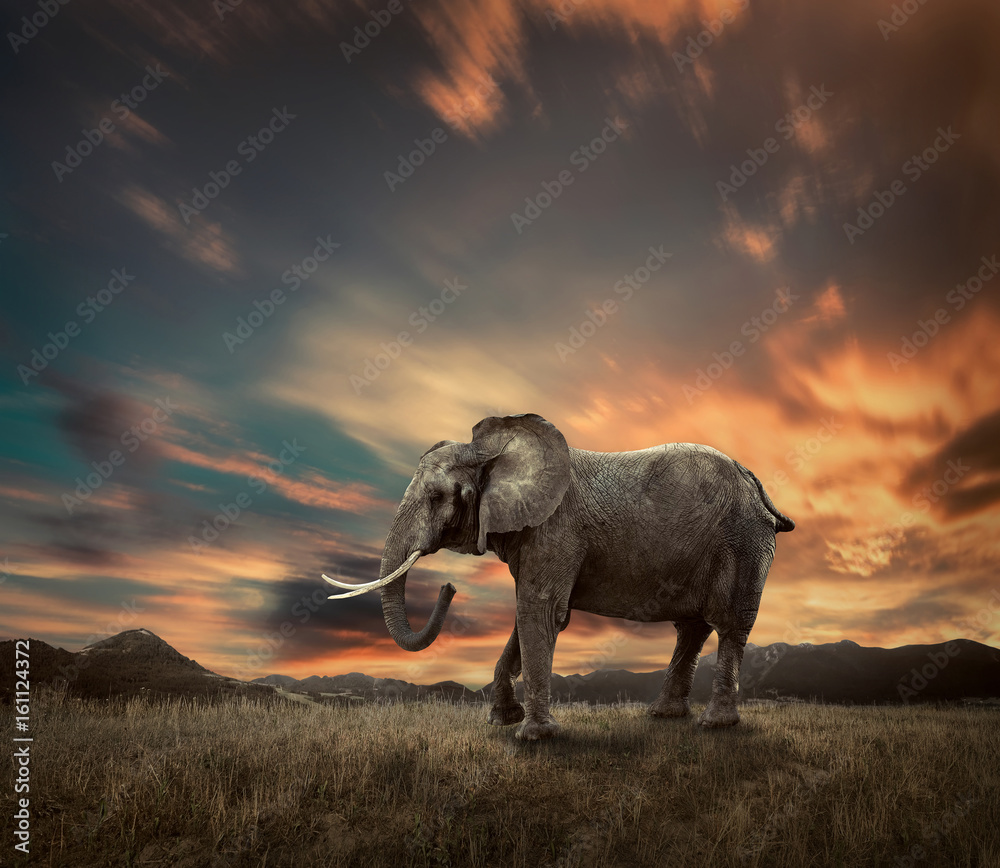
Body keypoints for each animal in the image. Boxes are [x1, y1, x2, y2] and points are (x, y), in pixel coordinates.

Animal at [325, 413, 794, 740]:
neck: (492, 451)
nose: (449, 587)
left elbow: (541, 612)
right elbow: (527, 614)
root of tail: (756, 483)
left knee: (729, 625)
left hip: (742, 541)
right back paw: (664, 717)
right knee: (692, 628)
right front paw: (502, 721)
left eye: (437, 496)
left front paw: (533, 738)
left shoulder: (555, 531)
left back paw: (716, 725)